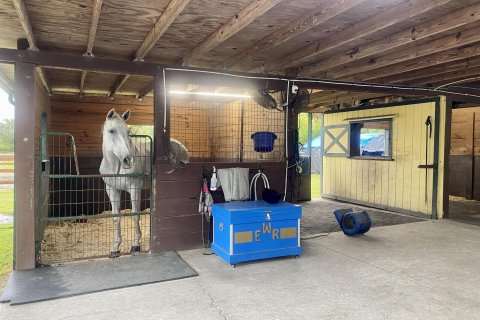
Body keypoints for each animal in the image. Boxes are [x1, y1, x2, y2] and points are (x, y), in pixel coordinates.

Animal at [100, 108, 188, 258]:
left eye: (128, 131)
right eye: (111, 130)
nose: (128, 159)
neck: (115, 166)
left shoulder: (135, 188)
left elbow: (135, 216)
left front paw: (136, 245)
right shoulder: (111, 190)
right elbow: (116, 217)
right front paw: (115, 248)